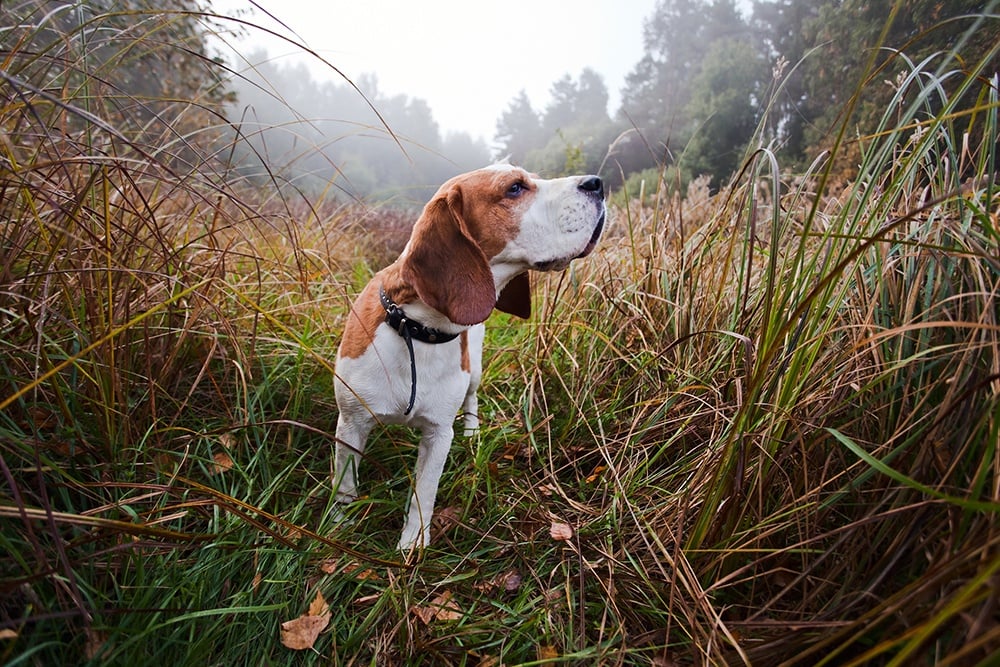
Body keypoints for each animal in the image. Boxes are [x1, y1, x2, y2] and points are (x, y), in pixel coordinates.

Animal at [332, 163, 604, 552]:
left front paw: (412, 546)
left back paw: (473, 431)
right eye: (515, 188)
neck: (417, 329)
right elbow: (344, 485)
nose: (598, 183)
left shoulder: (438, 434)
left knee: (472, 397)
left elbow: (424, 493)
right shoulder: (350, 423)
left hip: (474, 369)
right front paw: (338, 527)